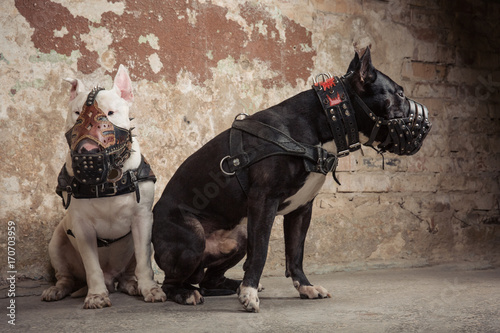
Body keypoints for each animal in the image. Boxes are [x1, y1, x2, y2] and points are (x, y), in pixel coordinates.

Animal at [42, 65, 167, 308]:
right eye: (77, 114)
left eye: (110, 113)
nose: (88, 150)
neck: (107, 180)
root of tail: (113, 278)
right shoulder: (82, 228)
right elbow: (92, 266)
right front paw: (96, 295)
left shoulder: (143, 219)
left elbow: (144, 262)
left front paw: (150, 289)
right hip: (56, 243)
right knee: (65, 276)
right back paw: (57, 290)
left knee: (128, 272)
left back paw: (133, 285)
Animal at [151, 48, 430, 312]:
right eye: (400, 94)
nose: (429, 121)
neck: (324, 120)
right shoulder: (264, 201)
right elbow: (261, 252)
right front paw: (249, 293)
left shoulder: (301, 209)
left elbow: (296, 253)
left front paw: (305, 287)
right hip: (194, 240)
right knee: (171, 283)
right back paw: (187, 293)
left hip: (239, 236)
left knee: (209, 280)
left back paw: (233, 285)